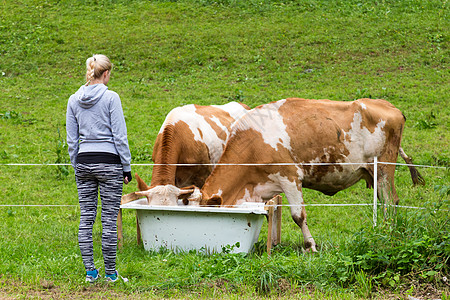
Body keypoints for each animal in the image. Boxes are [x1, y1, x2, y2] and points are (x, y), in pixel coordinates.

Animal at [185, 98, 424, 251]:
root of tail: (389, 106)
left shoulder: (289, 177)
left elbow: (298, 215)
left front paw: (310, 246)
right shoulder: (265, 186)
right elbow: (272, 213)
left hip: (383, 168)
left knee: (390, 201)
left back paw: (387, 233)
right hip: (373, 174)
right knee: (385, 203)